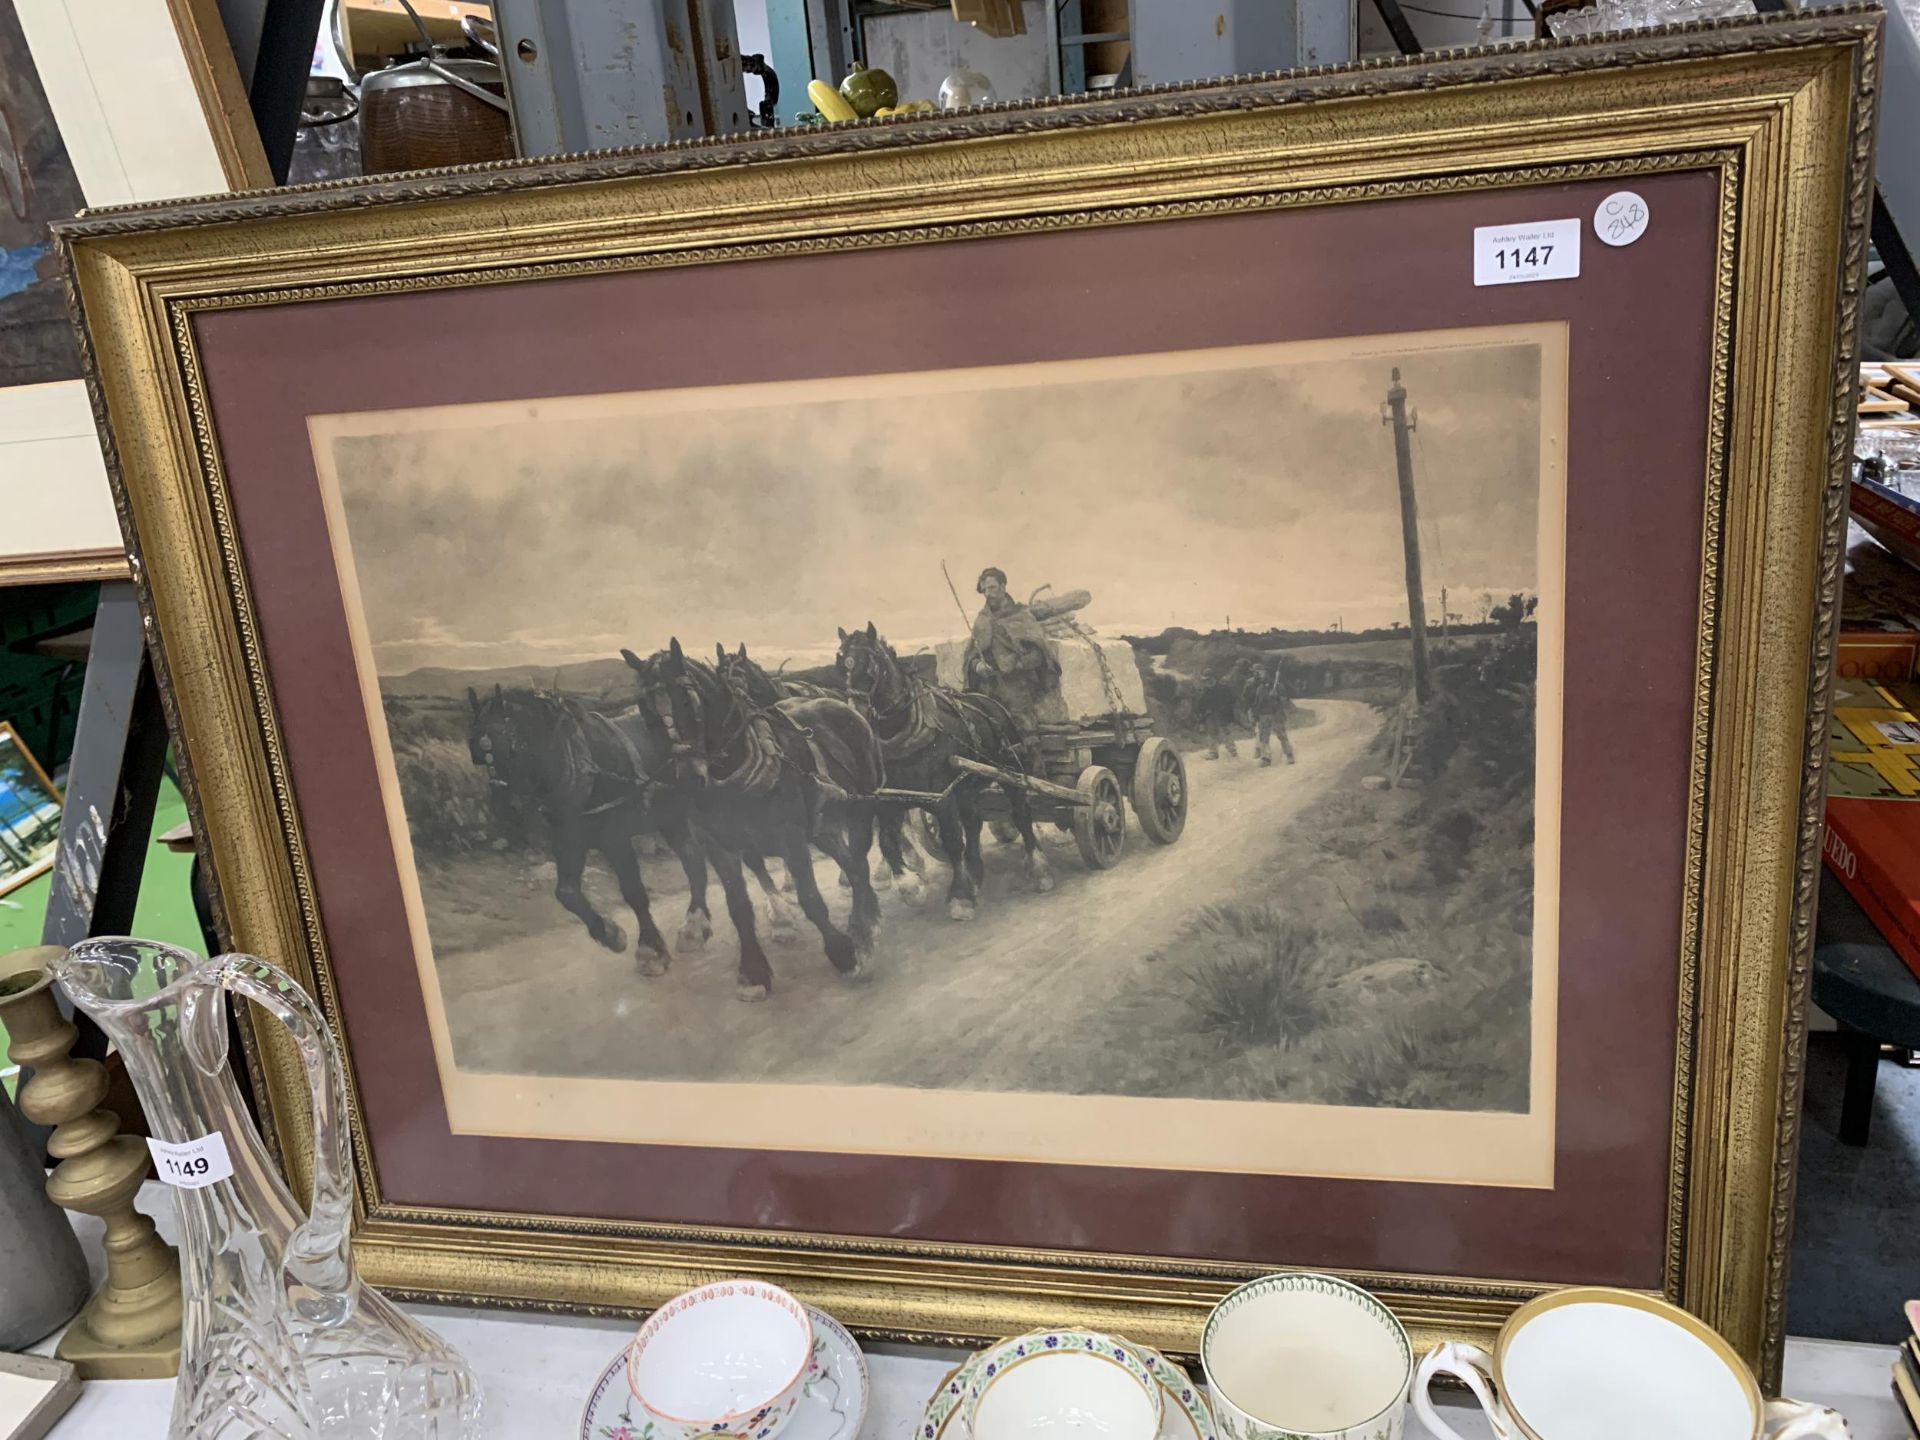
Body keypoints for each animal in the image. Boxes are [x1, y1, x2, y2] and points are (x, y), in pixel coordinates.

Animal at [464, 691, 787, 983]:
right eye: (477, 754)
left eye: (514, 746)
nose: (506, 810)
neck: (581, 763)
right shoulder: (570, 839)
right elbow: (566, 892)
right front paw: (608, 933)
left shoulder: (615, 838)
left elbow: (634, 892)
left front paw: (650, 950)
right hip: (672, 819)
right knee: (694, 861)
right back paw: (696, 926)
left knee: (735, 859)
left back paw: (777, 911)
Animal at [837, 622, 1059, 925]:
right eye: (842, 662)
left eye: (871, 664)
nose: (853, 714)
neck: (905, 732)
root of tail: (991, 702)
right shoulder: (892, 799)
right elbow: (888, 843)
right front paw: (912, 888)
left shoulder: (941, 798)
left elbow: (953, 841)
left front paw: (960, 897)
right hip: (967, 785)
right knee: (973, 823)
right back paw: (975, 872)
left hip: (1010, 773)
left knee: (1021, 816)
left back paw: (1039, 870)